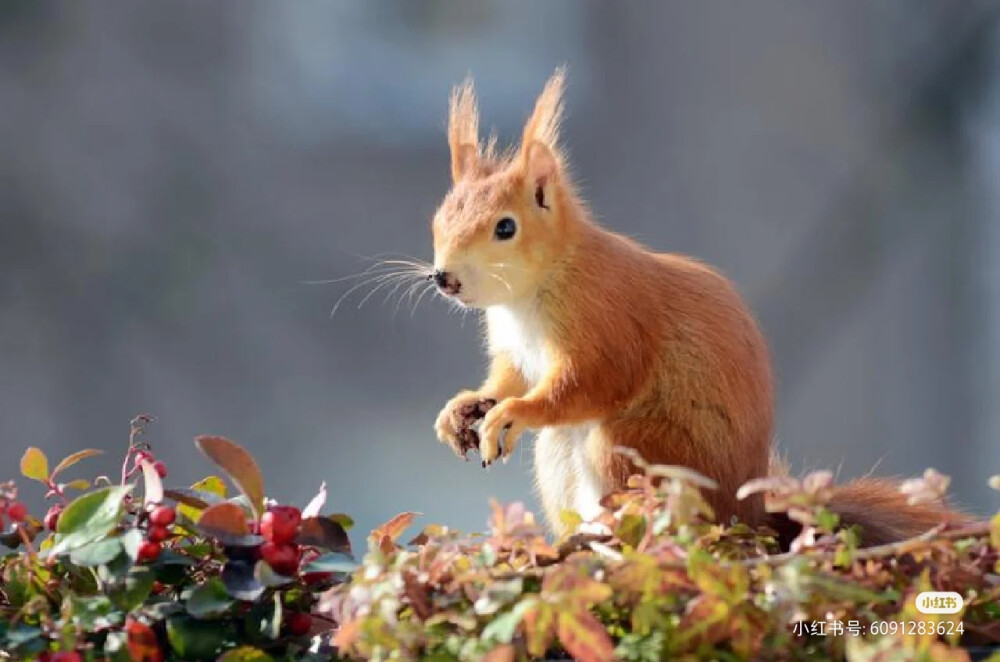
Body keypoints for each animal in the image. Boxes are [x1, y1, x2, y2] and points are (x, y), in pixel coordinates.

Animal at [428, 68, 968, 544]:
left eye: (505, 227)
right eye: (439, 217)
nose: (444, 278)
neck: (531, 292)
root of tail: (749, 517)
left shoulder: (605, 315)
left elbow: (594, 380)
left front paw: (513, 412)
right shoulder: (514, 346)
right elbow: (509, 377)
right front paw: (464, 408)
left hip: (643, 452)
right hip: (561, 455)